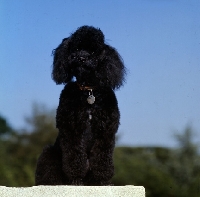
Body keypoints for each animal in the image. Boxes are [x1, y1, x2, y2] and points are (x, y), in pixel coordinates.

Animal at [34, 25, 125, 185]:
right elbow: (75, 157)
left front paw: (104, 181)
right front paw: (76, 180)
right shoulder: (72, 129)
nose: (81, 58)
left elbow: (102, 159)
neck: (88, 91)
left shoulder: (105, 132)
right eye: (75, 49)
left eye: (94, 51)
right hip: (49, 153)